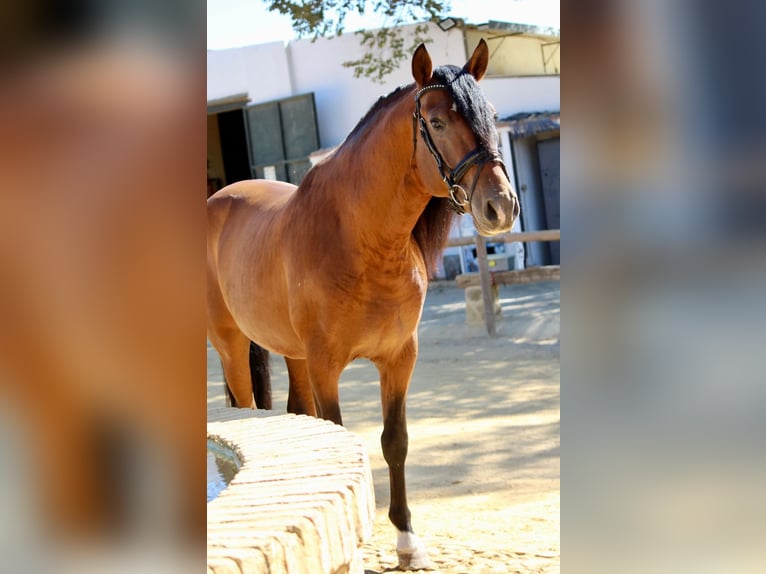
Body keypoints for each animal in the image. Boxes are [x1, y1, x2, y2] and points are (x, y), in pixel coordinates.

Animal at [208, 40, 520, 572]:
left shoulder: (398, 358)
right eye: (436, 122)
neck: (361, 237)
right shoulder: (326, 364)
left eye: (493, 114)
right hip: (231, 346)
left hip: (292, 354)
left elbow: (394, 442)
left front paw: (408, 540)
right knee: (248, 402)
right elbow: (340, 432)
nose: (500, 207)